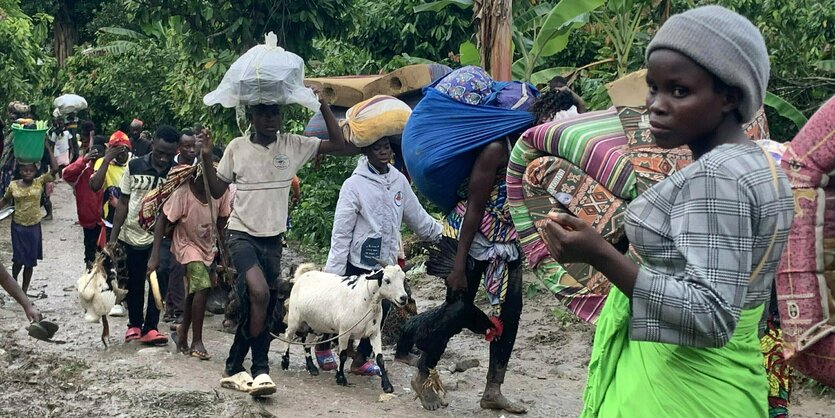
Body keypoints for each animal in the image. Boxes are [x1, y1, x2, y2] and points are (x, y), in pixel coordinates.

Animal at [282, 262, 410, 394]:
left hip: (314, 323)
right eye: (387, 280)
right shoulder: (344, 332)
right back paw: (285, 362)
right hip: (294, 317)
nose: (403, 298)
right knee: (288, 335)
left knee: (306, 342)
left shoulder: (374, 333)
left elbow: (380, 358)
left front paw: (387, 385)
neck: (364, 299)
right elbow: (343, 355)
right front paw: (340, 378)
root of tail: (303, 275)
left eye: (403, 279)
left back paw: (311, 367)